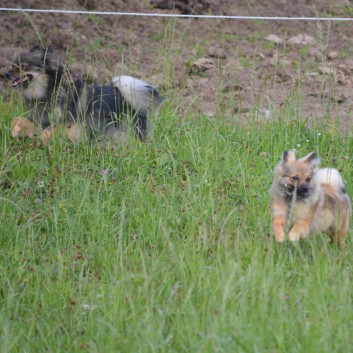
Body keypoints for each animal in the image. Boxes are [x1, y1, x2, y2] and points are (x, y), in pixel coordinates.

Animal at [4, 45, 162, 144]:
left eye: (23, 67)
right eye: (13, 65)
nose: (6, 74)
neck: (48, 89)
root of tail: (122, 94)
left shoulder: (68, 122)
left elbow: (47, 132)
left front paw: (36, 141)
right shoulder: (40, 120)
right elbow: (17, 120)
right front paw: (15, 131)